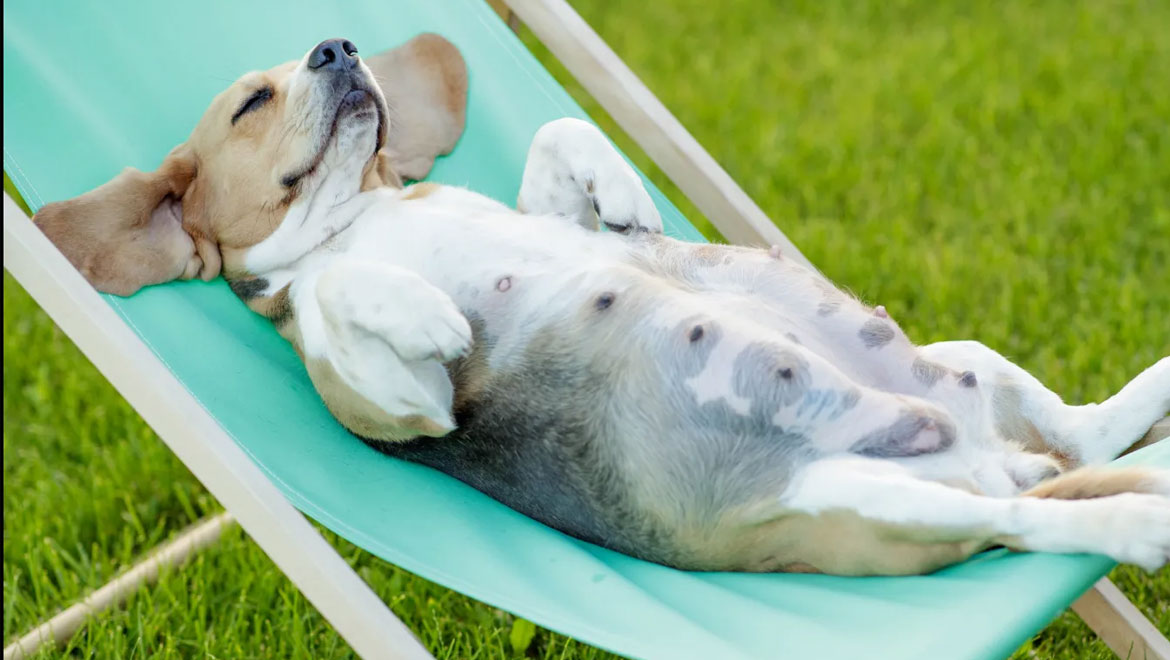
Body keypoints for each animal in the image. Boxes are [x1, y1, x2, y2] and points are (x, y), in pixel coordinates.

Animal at [36, 36, 1170, 575]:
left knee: (1081, 436)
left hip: (971, 364)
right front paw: (429, 313)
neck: (355, 213)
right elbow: (347, 304)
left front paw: (623, 200)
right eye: (252, 102)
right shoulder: (400, 406)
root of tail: (987, 457)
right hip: (863, 497)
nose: (339, 48)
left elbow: (557, 133)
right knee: (1027, 520)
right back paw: (1131, 527)